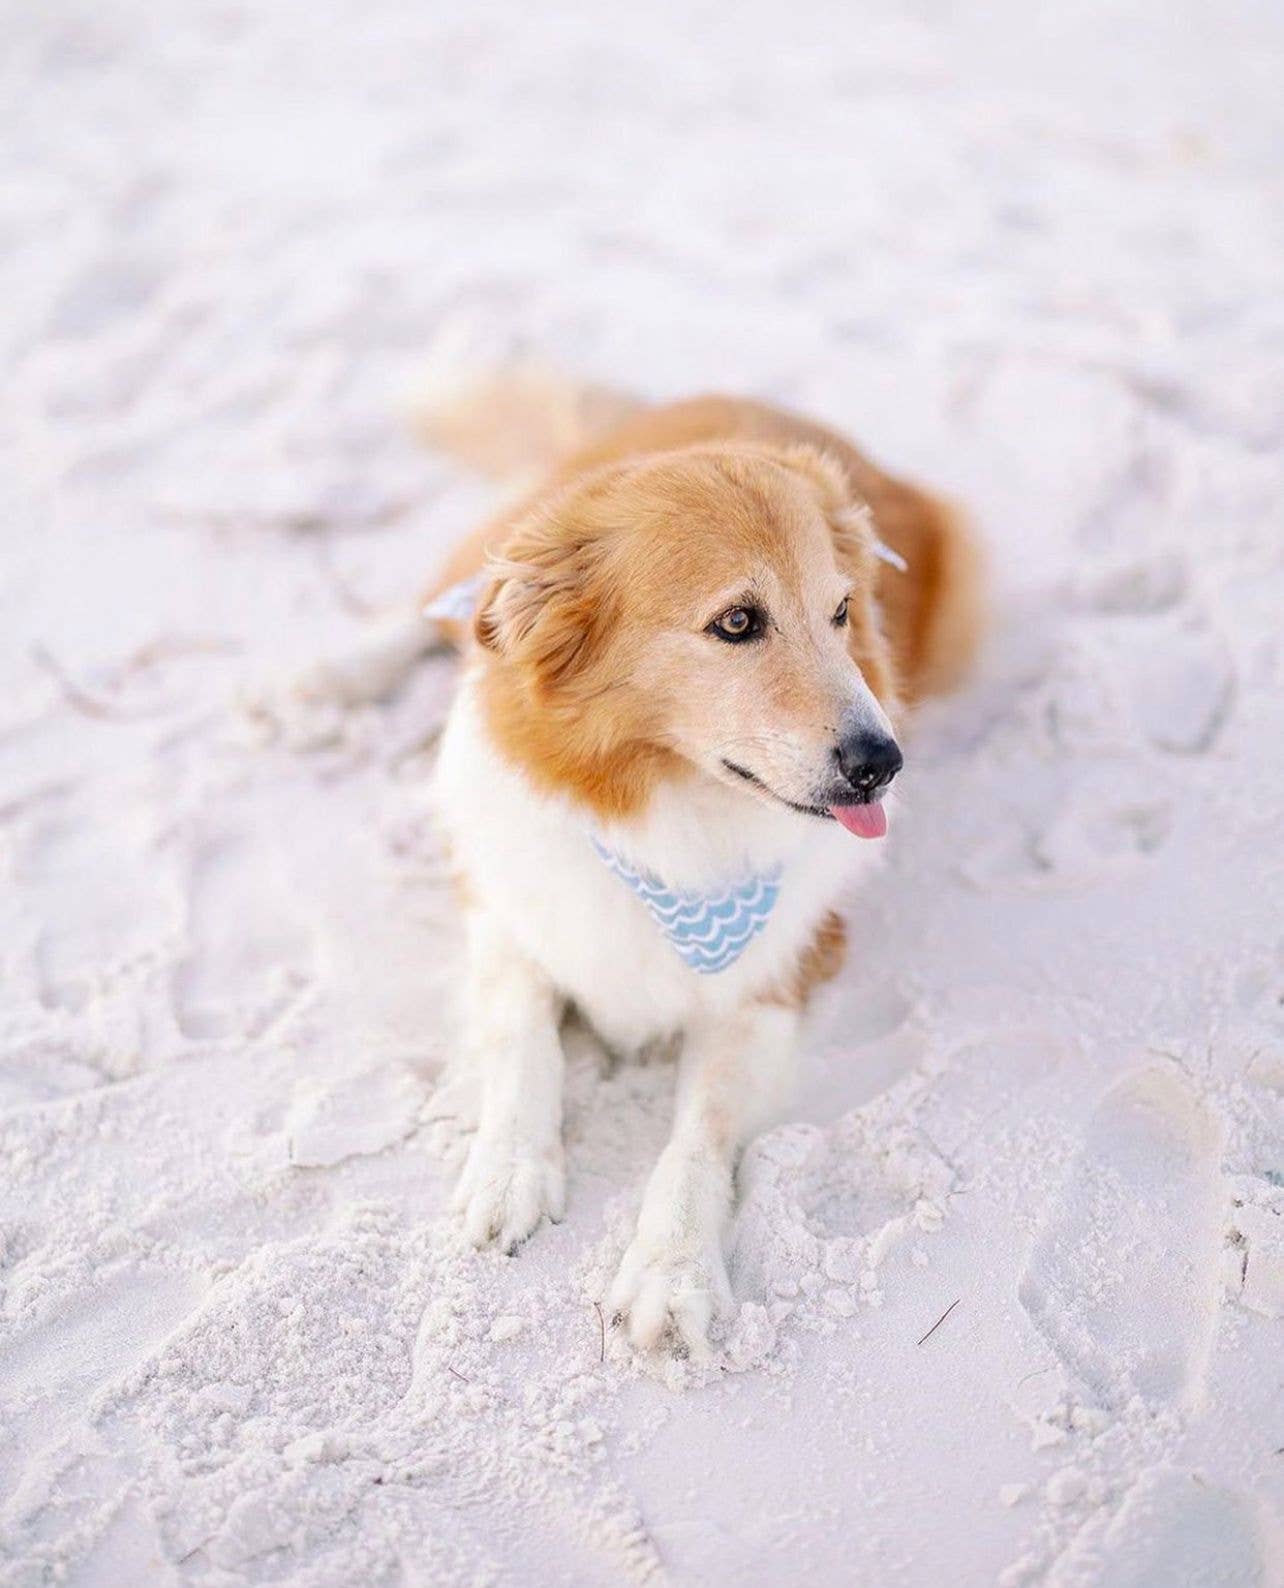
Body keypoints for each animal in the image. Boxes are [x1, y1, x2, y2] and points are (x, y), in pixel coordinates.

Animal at [415, 371, 977, 1352]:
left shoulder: (773, 985)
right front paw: (509, 1170)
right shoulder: (508, 911)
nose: (883, 761)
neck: (666, 818)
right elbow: (523, 1042)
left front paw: (671, 1271)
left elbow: (698, 1134)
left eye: (841, 612)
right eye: (738, 622)